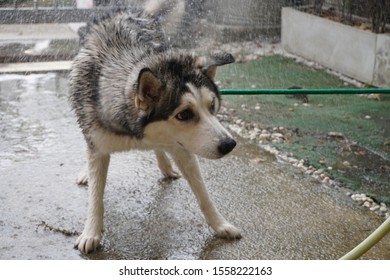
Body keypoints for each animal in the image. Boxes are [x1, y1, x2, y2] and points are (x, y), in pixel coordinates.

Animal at [70, 8, 241, 254]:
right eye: (184, 114)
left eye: (212, 106)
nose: (229, 144)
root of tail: (121, 11)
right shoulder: (98, 144)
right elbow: (96, 195)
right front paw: (91, 232)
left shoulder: (181, 148)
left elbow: (203, 193)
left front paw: (220, 225)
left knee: (159, 149)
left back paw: (165, 165)